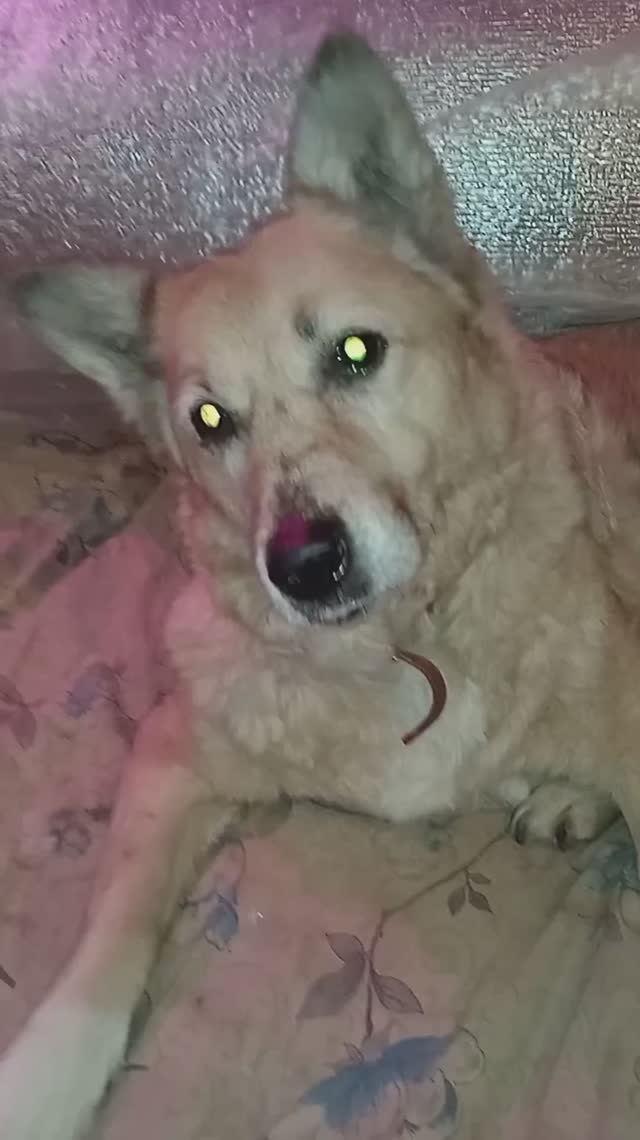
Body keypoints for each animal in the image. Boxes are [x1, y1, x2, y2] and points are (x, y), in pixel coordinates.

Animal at [1, 30, 640, 1140]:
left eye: (353, 352)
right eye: (211, 420)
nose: (303, 564)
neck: (401, 646)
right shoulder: (173, 754)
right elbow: (110, 938)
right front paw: (43, 1080)